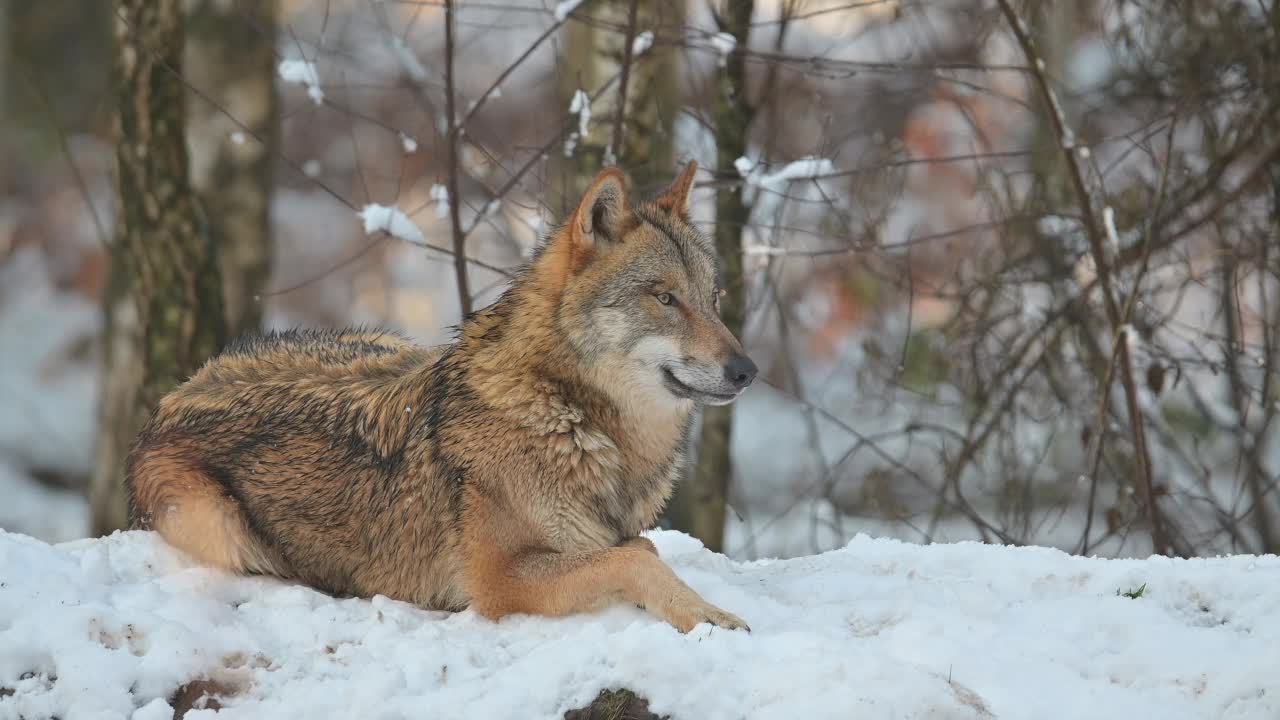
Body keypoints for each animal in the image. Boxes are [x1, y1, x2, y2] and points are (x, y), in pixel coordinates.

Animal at [124, 162, 752, 627]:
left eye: (714, 298)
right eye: (665, 298)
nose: (748, 369)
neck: (569, 414)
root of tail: (169, 401)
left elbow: (641, 549)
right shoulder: (501, 582)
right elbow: (636, 562)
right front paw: (709, 615)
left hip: (389, 341)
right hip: (219, 523)